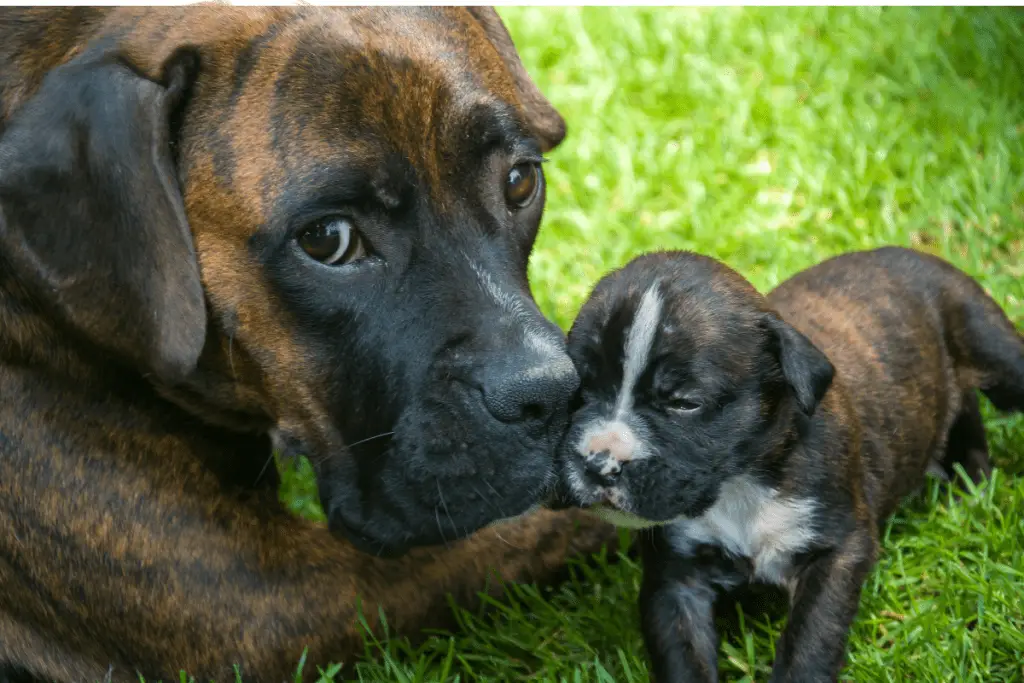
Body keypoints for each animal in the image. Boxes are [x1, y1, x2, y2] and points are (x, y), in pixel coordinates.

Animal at [552, 248, 1024, 679]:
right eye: (582, 387)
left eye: (684, 403)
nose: (598, 462)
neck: (740, 482)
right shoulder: (676, 582)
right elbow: (684, 660)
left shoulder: (837, 549)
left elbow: (809, 642)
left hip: (988, 341)